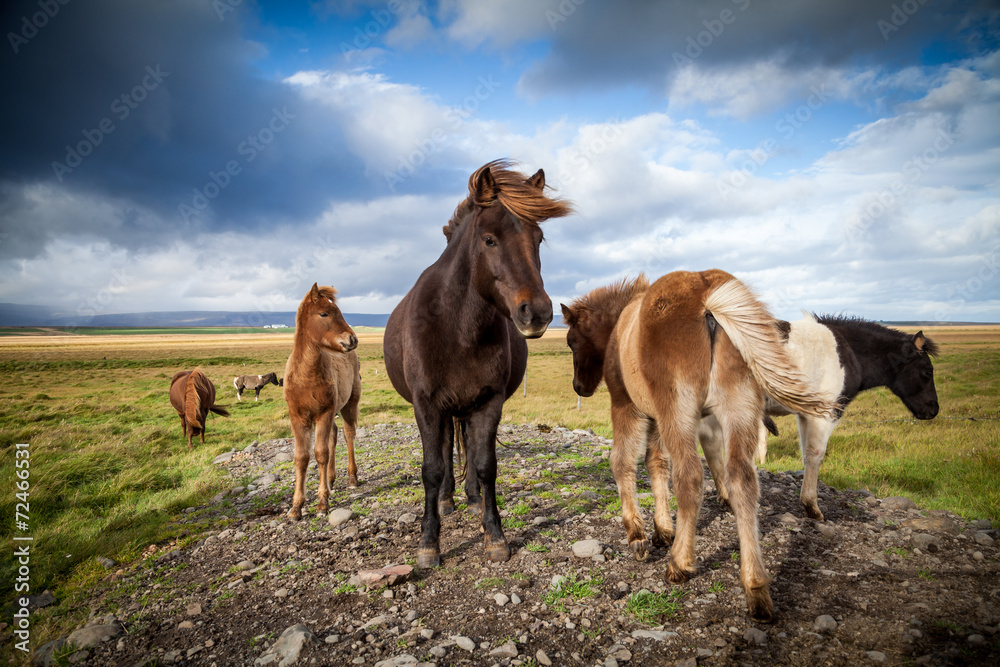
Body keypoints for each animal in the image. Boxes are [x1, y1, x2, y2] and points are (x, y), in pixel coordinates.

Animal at [282, 284, 364, 520]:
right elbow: (302, 457)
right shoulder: (298, 418)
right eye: (324, 313)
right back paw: (330, 480)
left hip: (348, 405)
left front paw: (322, 503)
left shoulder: (324, 414)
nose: (352, 339)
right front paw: (296, 507)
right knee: (334, 436)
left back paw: (352, 478)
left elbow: (320, 453)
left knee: (348, 435)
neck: (306, 376)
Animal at [382, 160, 572, 568]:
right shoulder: (426, 405)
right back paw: (446, 500)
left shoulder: (488, 402)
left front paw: (494, 535)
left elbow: (486, 465)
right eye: (489, 240)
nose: (538, 312)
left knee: (465, 445)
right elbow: (432, 468)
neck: (458, 328)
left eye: (538, 239)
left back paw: (468, 498)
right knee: (445, 451)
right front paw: (428, 543)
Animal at [564, 270, 836, 620]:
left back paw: (680, 563)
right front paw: (663, 529)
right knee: (742, 482)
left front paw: (638, 536)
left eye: (571, 341)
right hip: (739, 411)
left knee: (690, 477)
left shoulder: (628, 408)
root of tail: (707, 299)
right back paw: (756, 587)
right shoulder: (657, 419)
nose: (579, 387)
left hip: (679, 413)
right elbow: (656, 463)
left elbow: (623, 462)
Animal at [700, 314, 940, 520]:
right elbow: (816, 454)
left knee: (711, 444)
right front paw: (811, 506)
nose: (933, 410)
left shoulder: (805, 414)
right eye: (928, 372)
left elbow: (806, 455)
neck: (847, 353)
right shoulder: (826, 413)